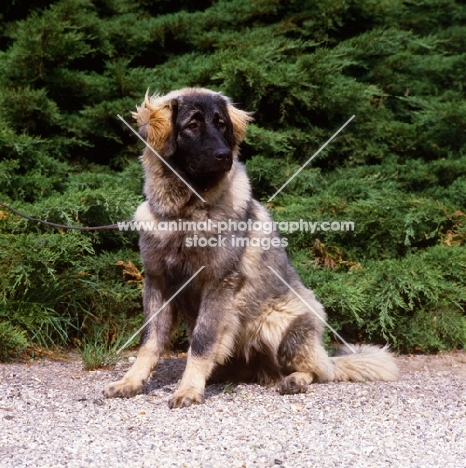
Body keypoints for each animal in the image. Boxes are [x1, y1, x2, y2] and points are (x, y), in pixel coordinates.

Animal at [103, 88, 396, 410]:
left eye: (221, 124)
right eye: (192, 125)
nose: (224, 156)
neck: (185, 214)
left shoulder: (218, 284)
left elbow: (202, 342)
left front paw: (188, 388)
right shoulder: (158, 282)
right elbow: (149, 342)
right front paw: (130, 381)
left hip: (284, 326)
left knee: (319, 371)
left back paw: (294, 380)